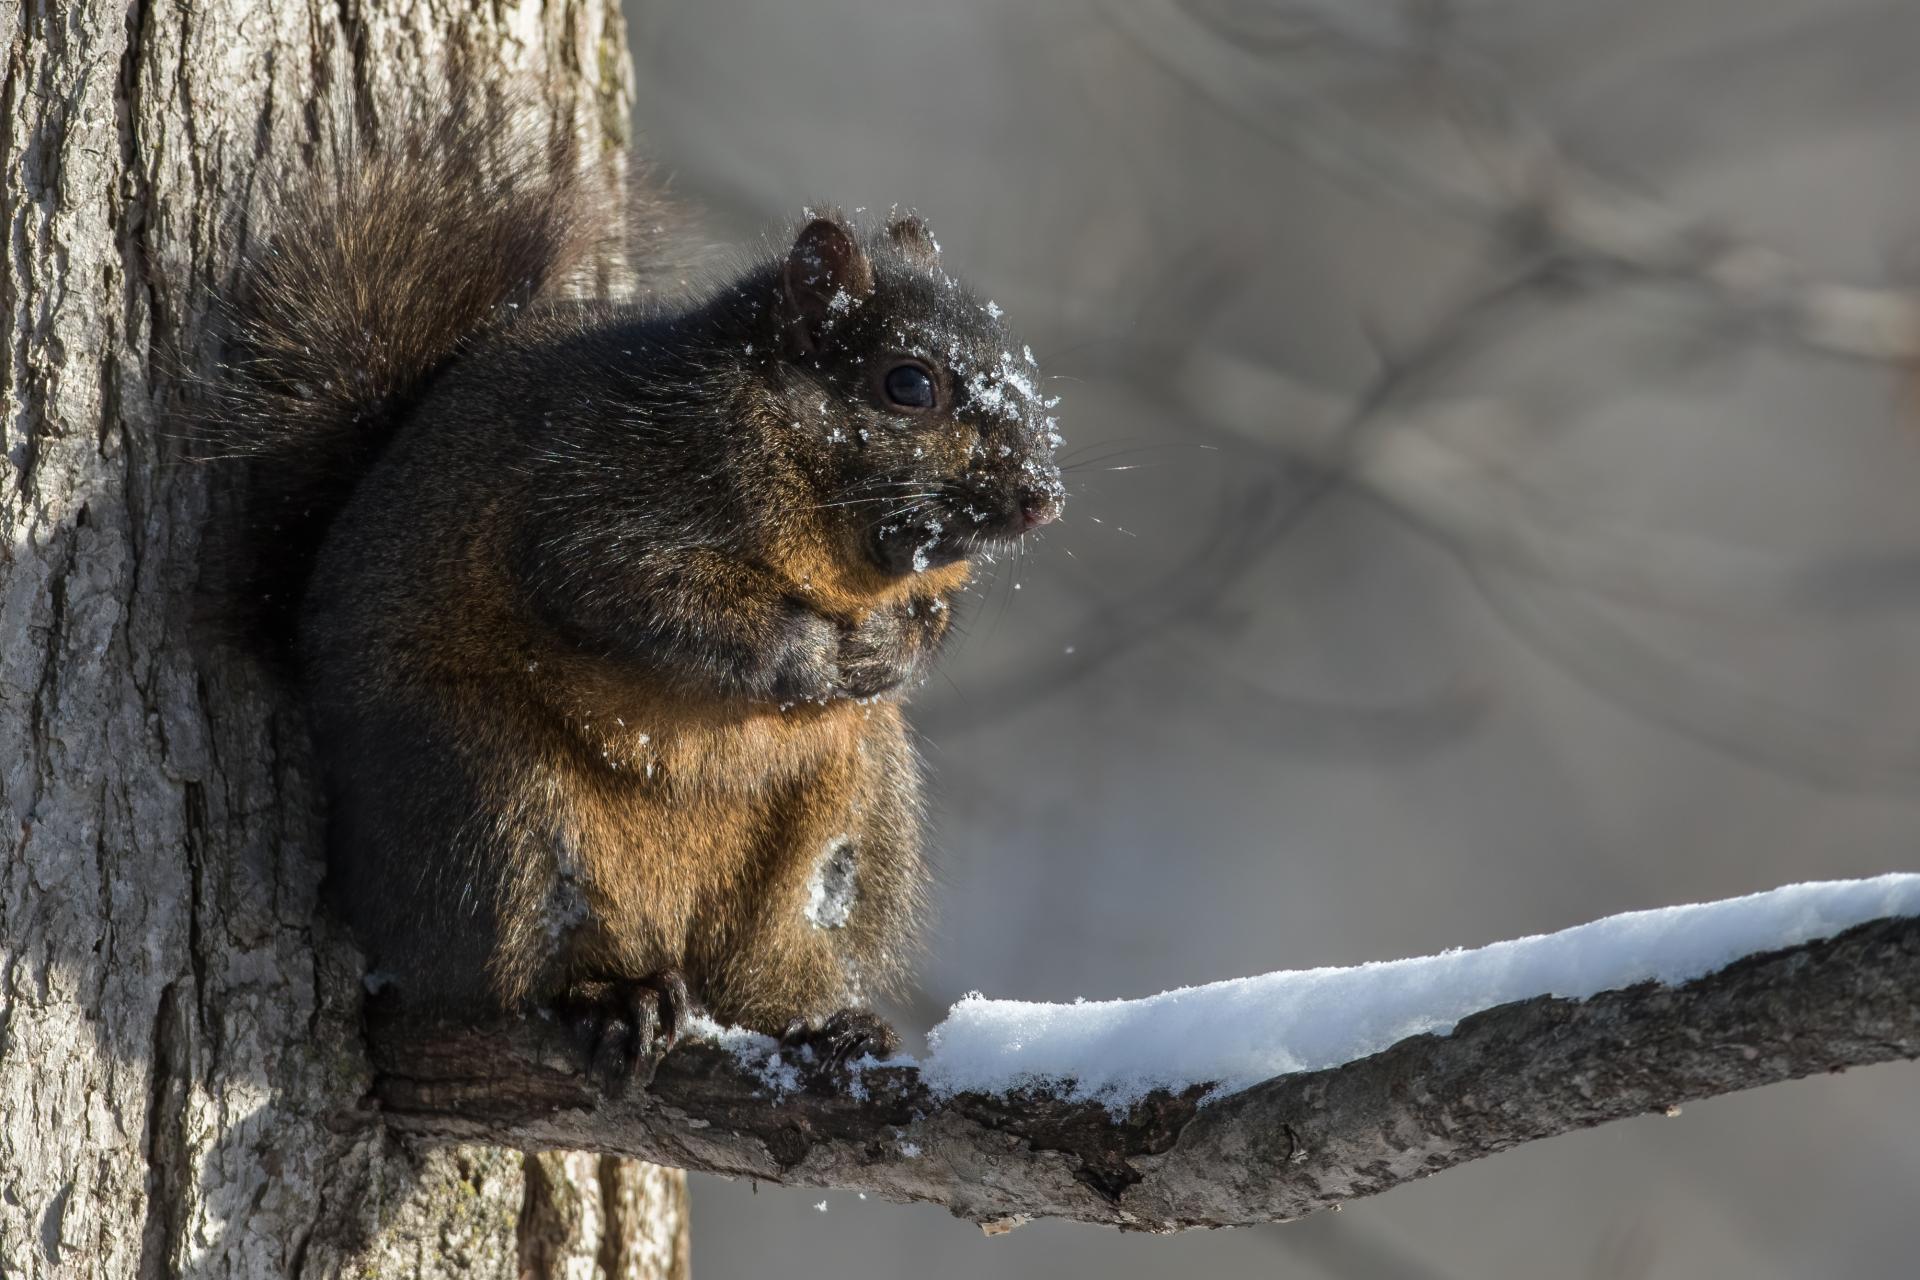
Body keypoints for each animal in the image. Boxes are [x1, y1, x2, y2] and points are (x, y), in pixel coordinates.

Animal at [208, 105, 1065, 1078]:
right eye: (908, 384)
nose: (1042, 495)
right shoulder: (605, 498)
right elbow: (642, 596)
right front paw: (807, 650)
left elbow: (928, 616)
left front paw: (889, 647)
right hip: (484, 799)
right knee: (508, 969)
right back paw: (611, 994)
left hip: (851, 805)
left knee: (761, 964)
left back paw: (820, 1019)